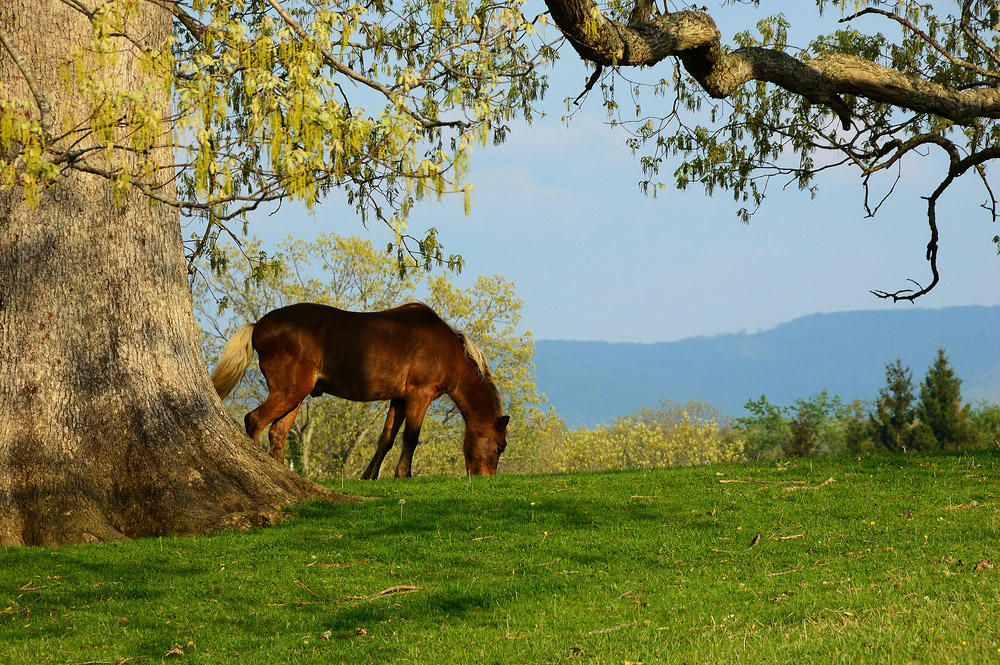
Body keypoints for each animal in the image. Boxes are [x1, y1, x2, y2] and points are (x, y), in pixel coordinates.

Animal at [209, 300, 508, 478]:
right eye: (499, 447)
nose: (485, 479)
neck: (447, 350)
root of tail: (258, 326)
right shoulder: (419, 395)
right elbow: (411, 437)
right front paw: (403, 474)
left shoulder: (399, 400)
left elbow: (386, 439)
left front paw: (369, 475)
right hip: (288, 393)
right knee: (254, 420)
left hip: (293, 396)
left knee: (277, 434)